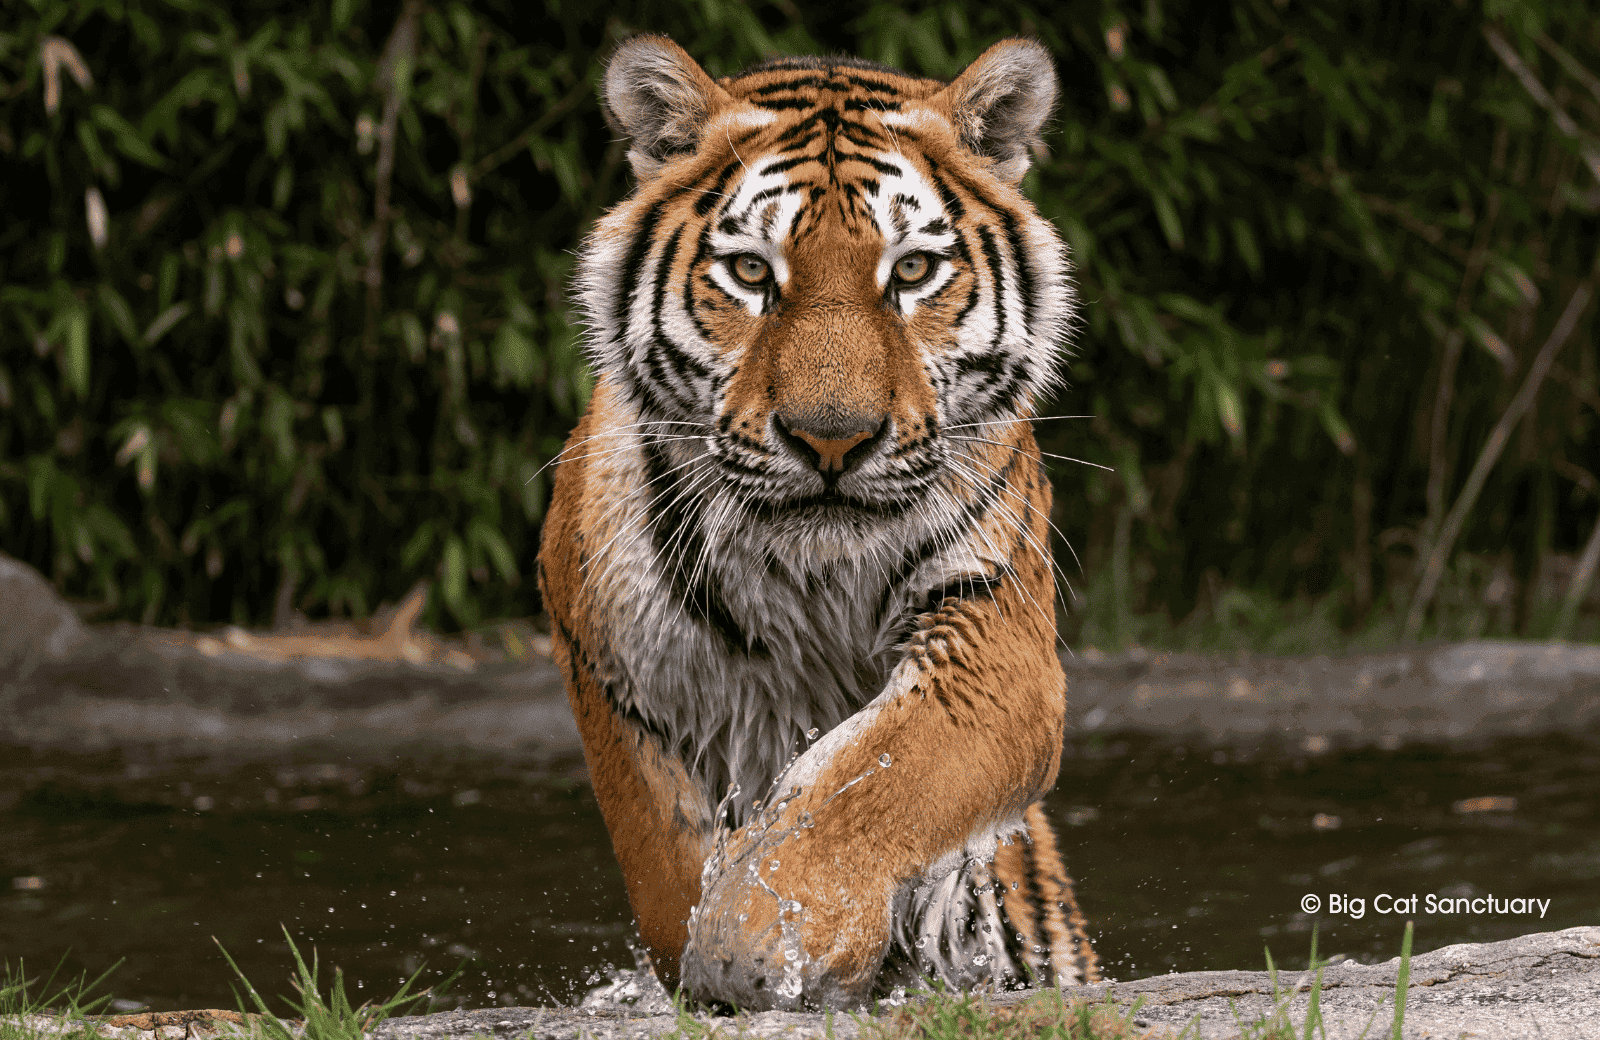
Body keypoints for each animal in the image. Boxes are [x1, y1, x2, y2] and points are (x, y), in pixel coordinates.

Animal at [536, 33, 1096, 1010]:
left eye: (910, 270)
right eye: (752, 271)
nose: (832, 439)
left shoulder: (997, 635)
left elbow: (878, 776)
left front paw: (768, 938)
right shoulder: (602, 658)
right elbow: (664, 850)